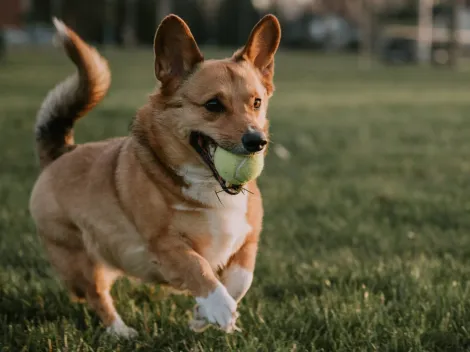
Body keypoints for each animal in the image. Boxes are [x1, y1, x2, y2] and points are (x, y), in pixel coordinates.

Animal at [30, 13, 280, 336]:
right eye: (213, 105)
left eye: (257, 102)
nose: (257, 141)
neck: (208, 187)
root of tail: (60, 152)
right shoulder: (165, 245)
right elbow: (197, 267)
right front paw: (219, 307)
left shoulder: (247, 242)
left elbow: (240, 280)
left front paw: (202, 316)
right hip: (79, 257)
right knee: (97, 295)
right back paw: (121, 332)